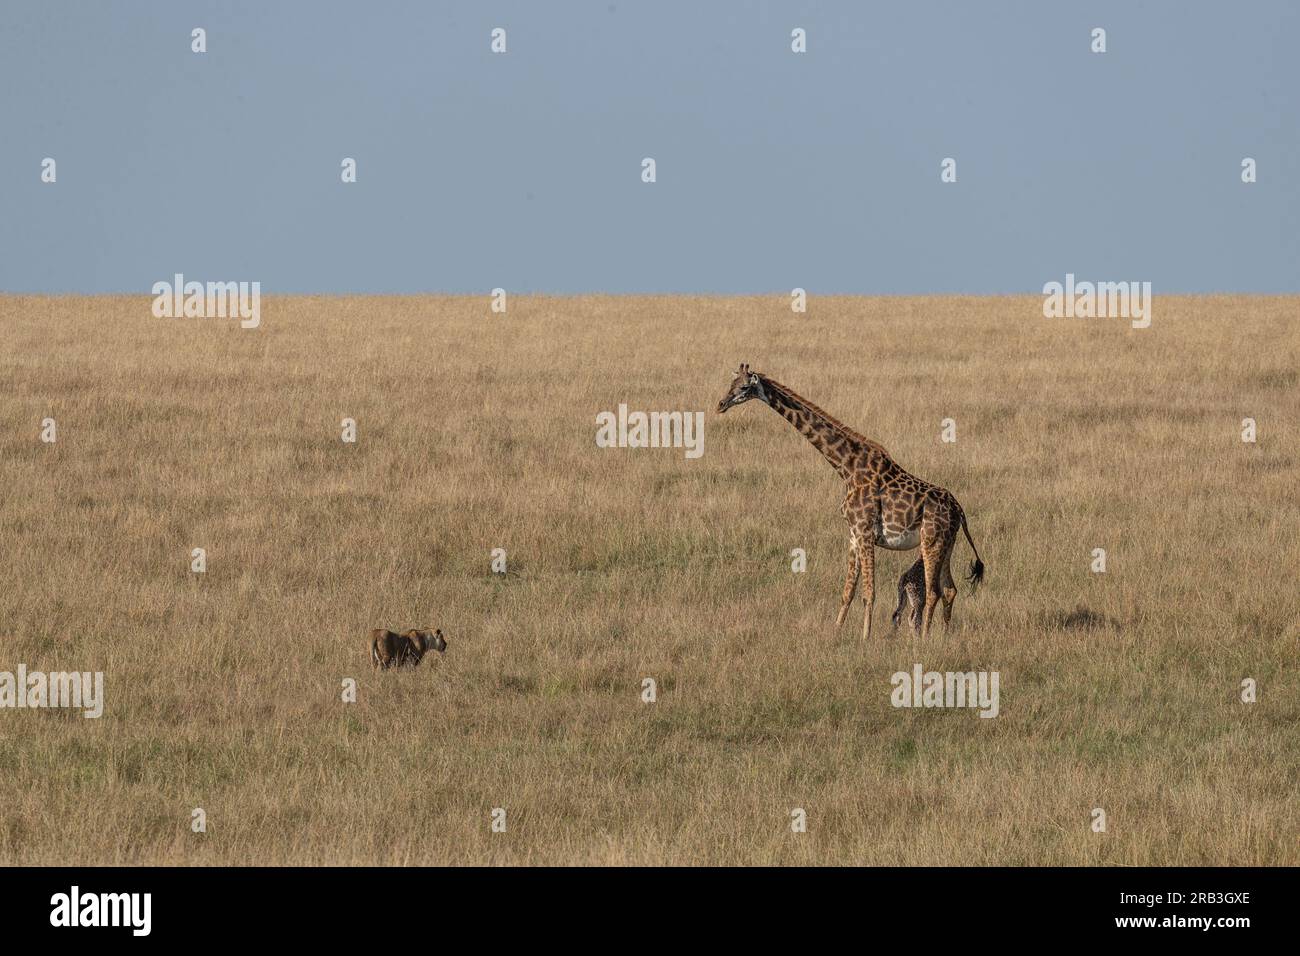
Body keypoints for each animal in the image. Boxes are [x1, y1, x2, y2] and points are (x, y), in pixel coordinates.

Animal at [716, 364, 985, 638]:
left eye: (744, 387)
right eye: (730, 383)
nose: (721, 404)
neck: (846, 467)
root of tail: (959, 510)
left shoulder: (865, 532)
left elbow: (869, 593)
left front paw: (865, 638)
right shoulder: (854, 534)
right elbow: (848, 592)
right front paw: (836, 631)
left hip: (931, 541)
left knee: (933, 591)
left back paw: (924, 638)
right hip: (946, 543)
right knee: (950, 589)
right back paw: (944, 634)